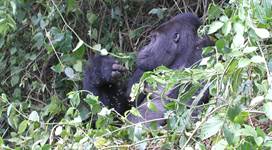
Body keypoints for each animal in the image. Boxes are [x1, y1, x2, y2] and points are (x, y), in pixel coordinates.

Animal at [82, 12, 214, 125]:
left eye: (154, 38)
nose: (144, 47)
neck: (181, 57)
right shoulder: (142, 71)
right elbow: (116, 112)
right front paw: (102, 70)